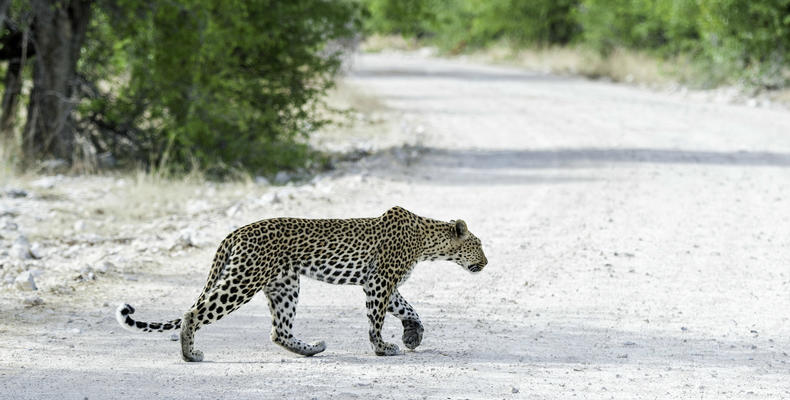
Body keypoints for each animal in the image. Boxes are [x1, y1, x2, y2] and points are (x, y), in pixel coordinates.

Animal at [117, 206, 488, 362]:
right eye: (479, 244)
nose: (485, 263)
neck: (427, 241)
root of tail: (236, 231)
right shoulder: (380, 281)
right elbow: (377, 319)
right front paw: (382, 348)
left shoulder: (380, 282)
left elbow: (408, 308)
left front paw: (413, 335)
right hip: (244, 280)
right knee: (193, 313)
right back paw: (190, 354)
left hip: (284, 285)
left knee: (278, 330)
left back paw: (311, 349)